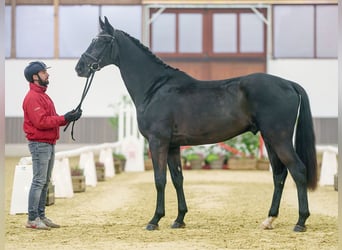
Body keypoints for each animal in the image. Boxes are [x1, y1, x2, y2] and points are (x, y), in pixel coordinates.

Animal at [76, 17, 316, 232]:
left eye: (100, 42)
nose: (79, 68)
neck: (156, 88)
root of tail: (288, 84)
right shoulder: (173, 146)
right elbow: (177, 179)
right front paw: (179, 219)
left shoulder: (157, 142)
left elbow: (159, 179)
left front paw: (155, 220)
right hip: (269, 138)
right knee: (279, 174)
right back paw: (269, 220)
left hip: (279, 137)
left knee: (298, 170)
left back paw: (301, 222)